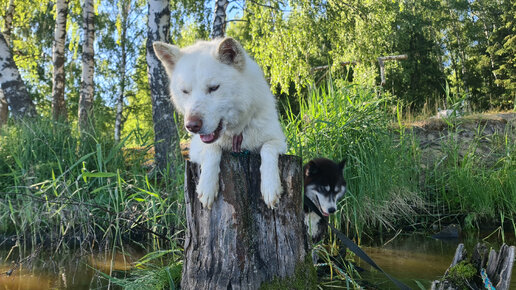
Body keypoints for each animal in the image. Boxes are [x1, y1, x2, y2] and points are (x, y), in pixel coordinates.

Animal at [154, 38, 286, 208]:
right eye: (185, 91)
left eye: (213, 88)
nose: (192, 126)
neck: (236, 135)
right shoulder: (195, 149)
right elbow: (213, 149)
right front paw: (207, 186)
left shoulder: (279, 141)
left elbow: (267, 148)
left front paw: (270, 187)